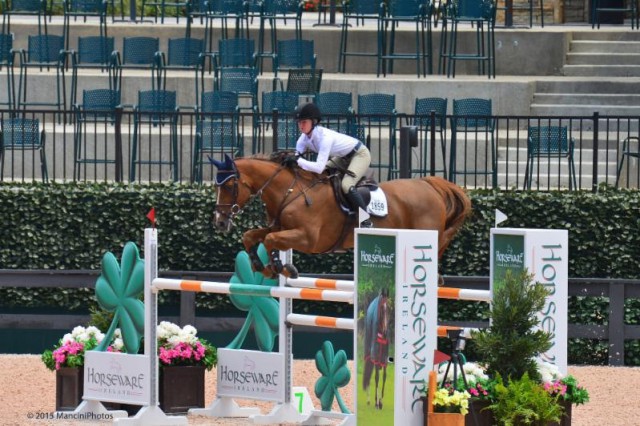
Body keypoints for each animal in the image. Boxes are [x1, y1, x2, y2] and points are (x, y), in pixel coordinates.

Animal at [210, 155, 470, 278]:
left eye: (230, 185)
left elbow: (269, 240)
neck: (290, 192)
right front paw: (262, 266)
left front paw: (281, 268)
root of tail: (428, 184)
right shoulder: (280, 227)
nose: (220, 223)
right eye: (216, 185)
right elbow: (251, 236)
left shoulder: (308, 239)